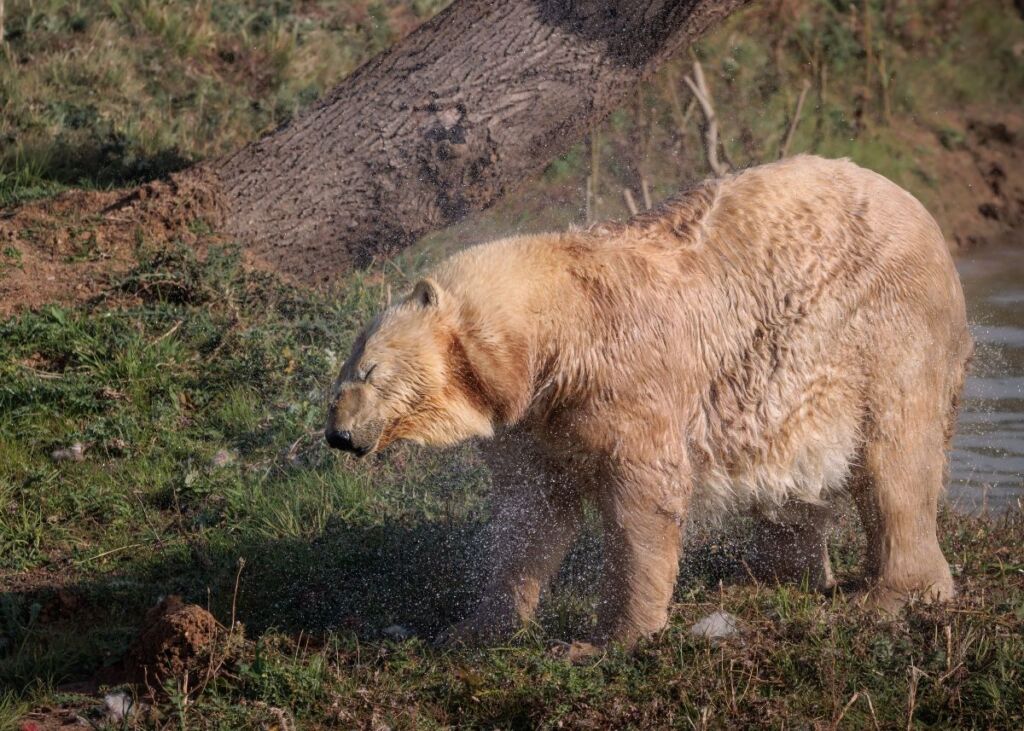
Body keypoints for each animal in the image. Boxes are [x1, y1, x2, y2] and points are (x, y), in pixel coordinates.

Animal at [325, 155, 973, 650]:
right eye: (343, 374)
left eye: (370, 371)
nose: (339, 435)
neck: (565, 321)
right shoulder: (534, 418)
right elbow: (530, 513)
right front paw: (474, 627)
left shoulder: (628, 377)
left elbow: (644, 497)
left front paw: (602, 642)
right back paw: (773, 576)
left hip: (883, 327)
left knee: (895, 463)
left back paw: (891, 596)